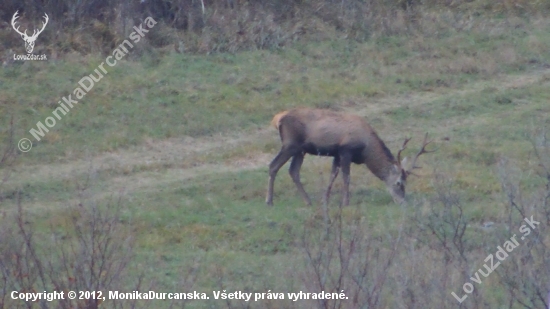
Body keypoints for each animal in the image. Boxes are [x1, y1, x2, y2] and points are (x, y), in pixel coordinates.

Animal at [266, 107, 438, 206]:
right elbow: (346, 177)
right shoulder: (345, 150)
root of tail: (277, 119)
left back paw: (307, 201)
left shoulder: (336, 154)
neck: (365, 149)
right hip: (290, 144)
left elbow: (332, 176)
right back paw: (269, 201)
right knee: (273, 166)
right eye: (398, 183)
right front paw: (346, 202)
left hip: (300, 150)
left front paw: (325, 199)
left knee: (293, 171)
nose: (402, 201)